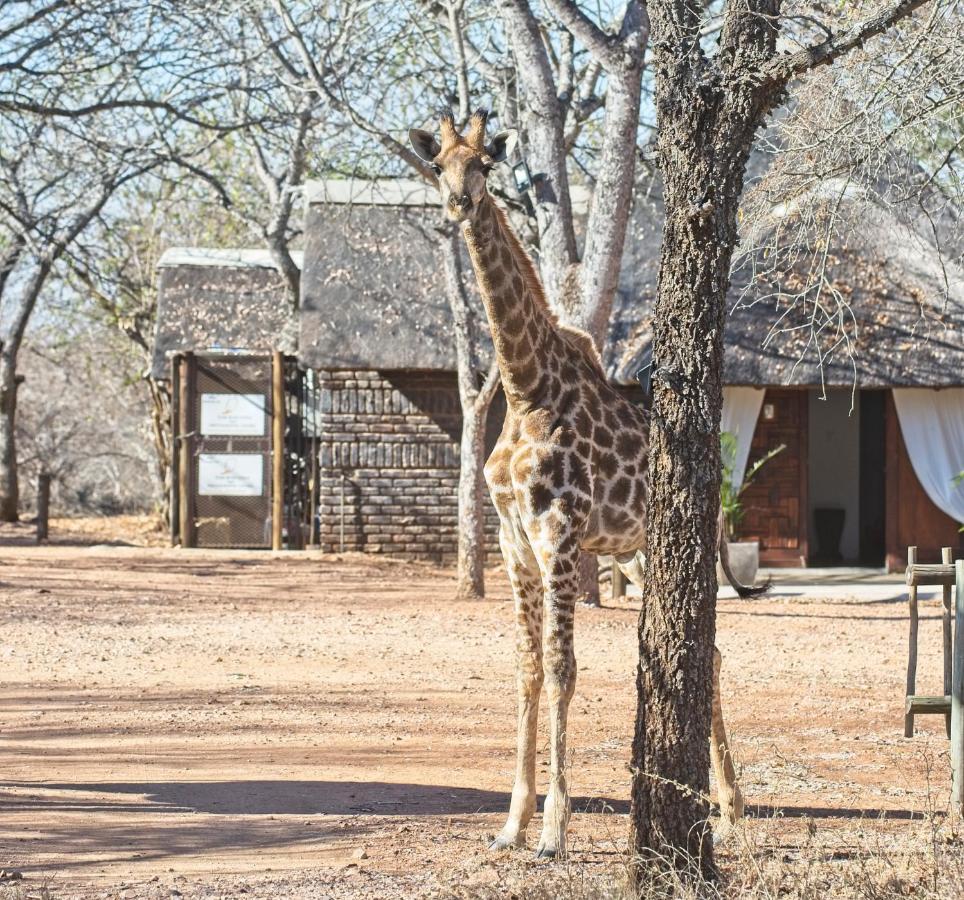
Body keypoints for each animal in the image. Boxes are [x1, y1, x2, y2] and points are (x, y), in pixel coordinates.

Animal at [410, 110, 756, 856]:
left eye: (485, 164)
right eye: (438, 165)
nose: (458, 203)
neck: (524, 386)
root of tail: (715, 480)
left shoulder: (560, 534)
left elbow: (564, 670)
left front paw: (554, 830)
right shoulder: (514, 541)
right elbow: (528, 668)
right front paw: (511, 824)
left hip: (674, 547)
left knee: (709, 651)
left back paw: (730, 804)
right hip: (633, 552)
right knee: (707, 651)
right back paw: (721, 803)